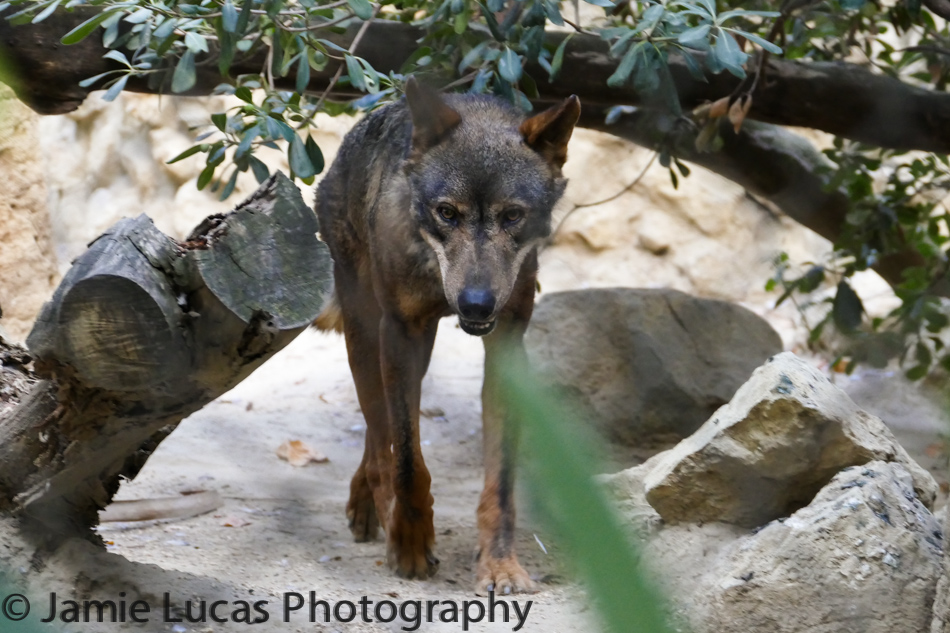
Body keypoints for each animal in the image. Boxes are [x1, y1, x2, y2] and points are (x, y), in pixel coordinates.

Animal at [312, 77, 580, 594]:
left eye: (512, 216)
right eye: (447, 213)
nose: (475, 303)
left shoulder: (506, 345)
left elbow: (501, 481)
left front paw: (501, 565)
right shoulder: (400, 333)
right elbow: (408, 462)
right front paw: (410, 545)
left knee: (377, 435)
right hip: (369, 335)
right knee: (380, 440)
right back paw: (381, 514)